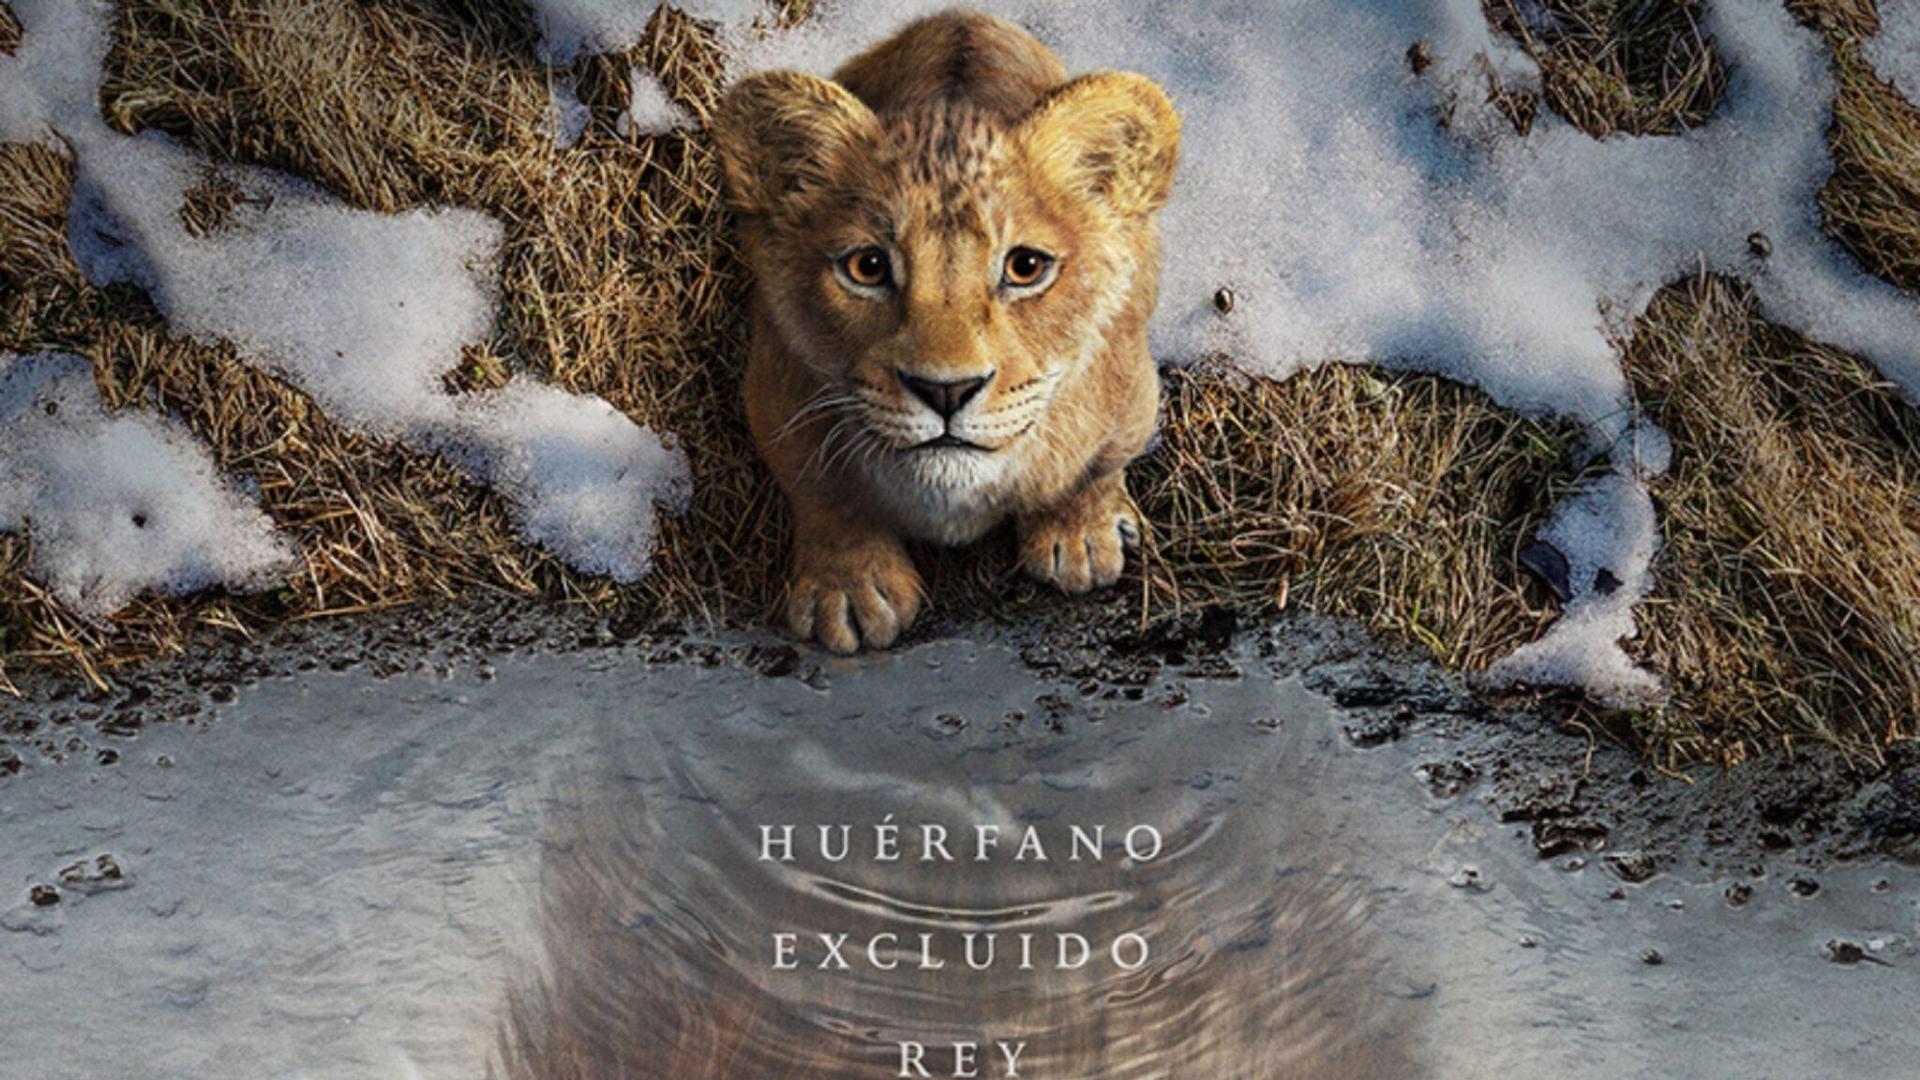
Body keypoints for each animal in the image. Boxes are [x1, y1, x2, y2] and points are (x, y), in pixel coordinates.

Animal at [713, 10, 1180, 653]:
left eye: (1025, 267)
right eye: (868, 267)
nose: (946, 391)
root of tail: (963, 16)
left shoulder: (1131, 391)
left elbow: (1094, 467)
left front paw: (1080, 537)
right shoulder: (775, 392)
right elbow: (824, 493)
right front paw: (849, 590)